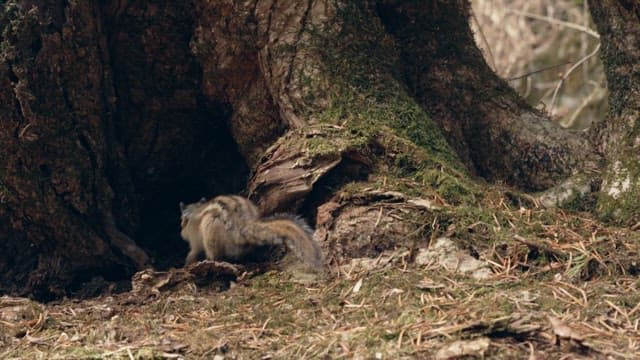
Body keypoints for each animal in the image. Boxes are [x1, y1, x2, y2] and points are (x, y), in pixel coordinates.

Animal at [179, 197, 320, 270]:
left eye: (182, 220)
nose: (181, 233)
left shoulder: (195, 241)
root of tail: (244, 226)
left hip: (211, 230)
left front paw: (187, 263)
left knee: (216, 255)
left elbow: (193, 252)